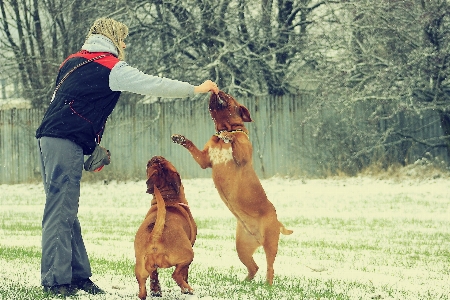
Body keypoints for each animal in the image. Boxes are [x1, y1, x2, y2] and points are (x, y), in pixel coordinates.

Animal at [134, 156, 197, 298]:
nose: (154, 157)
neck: (168, 198)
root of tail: (155, 237)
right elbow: (185, 273)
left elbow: (154, 276)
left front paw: (156, 291)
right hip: (188, 255)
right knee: (176, 275)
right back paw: (188, 289)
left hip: (140, 268)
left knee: (142, 289)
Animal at [171, 90, 294, 284]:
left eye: (228, 96)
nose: (217, 90)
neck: (224, 128)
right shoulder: (204, 160)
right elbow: (192, 146)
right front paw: (180, 138)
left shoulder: (241, 156)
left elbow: (236, 140)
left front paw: (231, 137)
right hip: (242, 247)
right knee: (254, 267)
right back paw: (245, 282)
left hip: (270, 243)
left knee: (270, 267)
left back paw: (267, 285)